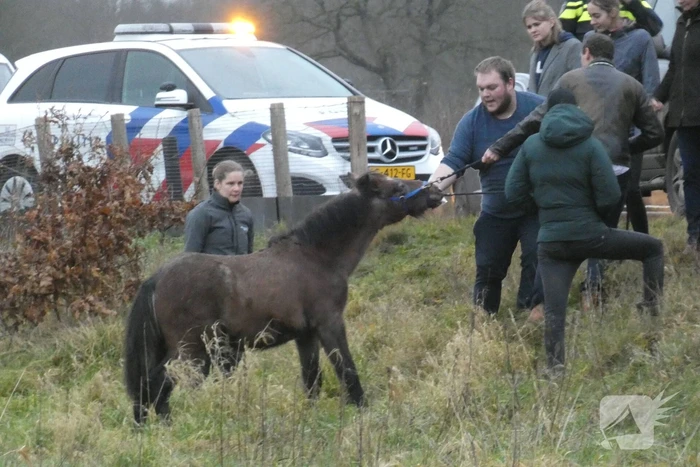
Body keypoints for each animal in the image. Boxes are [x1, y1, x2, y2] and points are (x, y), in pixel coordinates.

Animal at [123, 171, 443, 424]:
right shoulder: (329, 325)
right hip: (192, 351)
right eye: (397, 188)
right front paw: (363, 410)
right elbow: (346, 370)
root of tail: (157, 278)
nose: (436, 192)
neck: (315, 257)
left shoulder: (306, 336)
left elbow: (312, 379)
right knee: (160, 384)